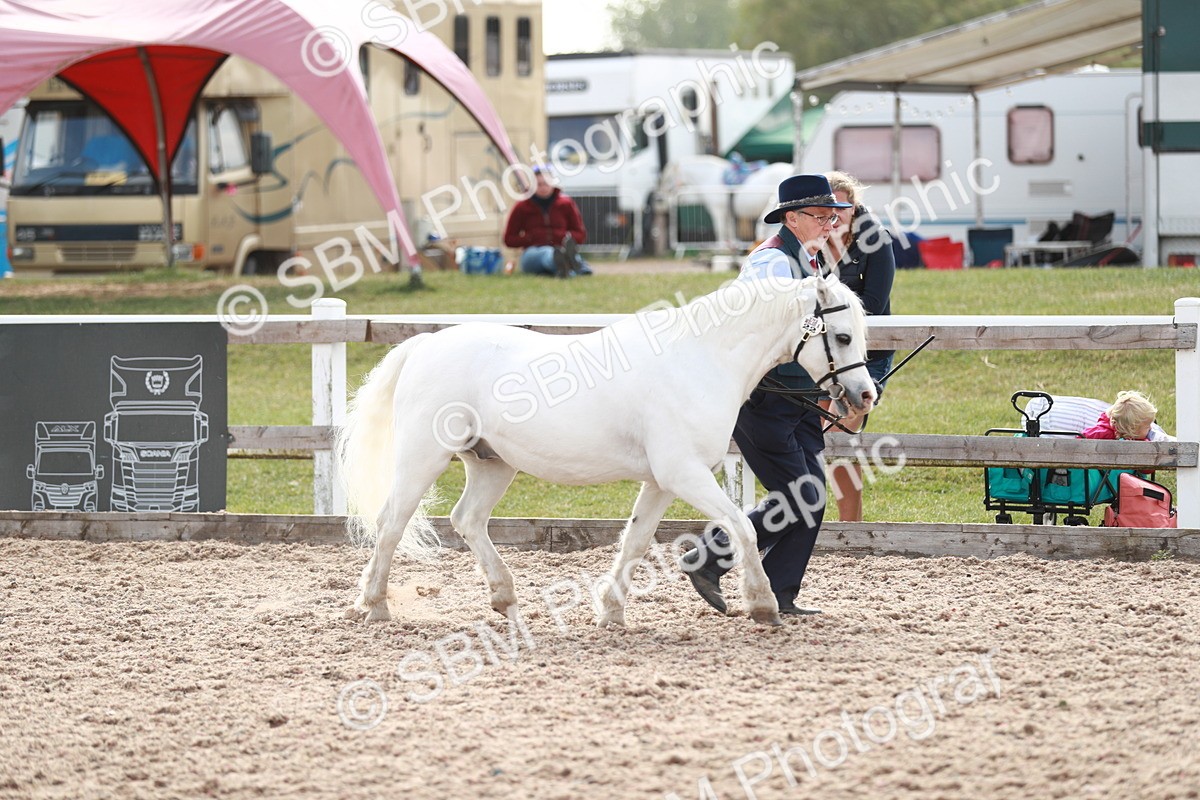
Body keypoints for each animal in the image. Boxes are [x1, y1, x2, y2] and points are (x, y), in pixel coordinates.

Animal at [337, 274, 876, 628]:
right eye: (842, 335)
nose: (866, 395)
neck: (700, 360)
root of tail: (424, 346)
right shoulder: (684, 474)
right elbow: (742, 527)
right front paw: (762, 605)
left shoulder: (661, 482)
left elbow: (635, 542)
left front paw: (612, 611)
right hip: (423, 457)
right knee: (392, 523)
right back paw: (375, 605)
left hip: (492, 464)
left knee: (467, 520)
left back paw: (505, 599)